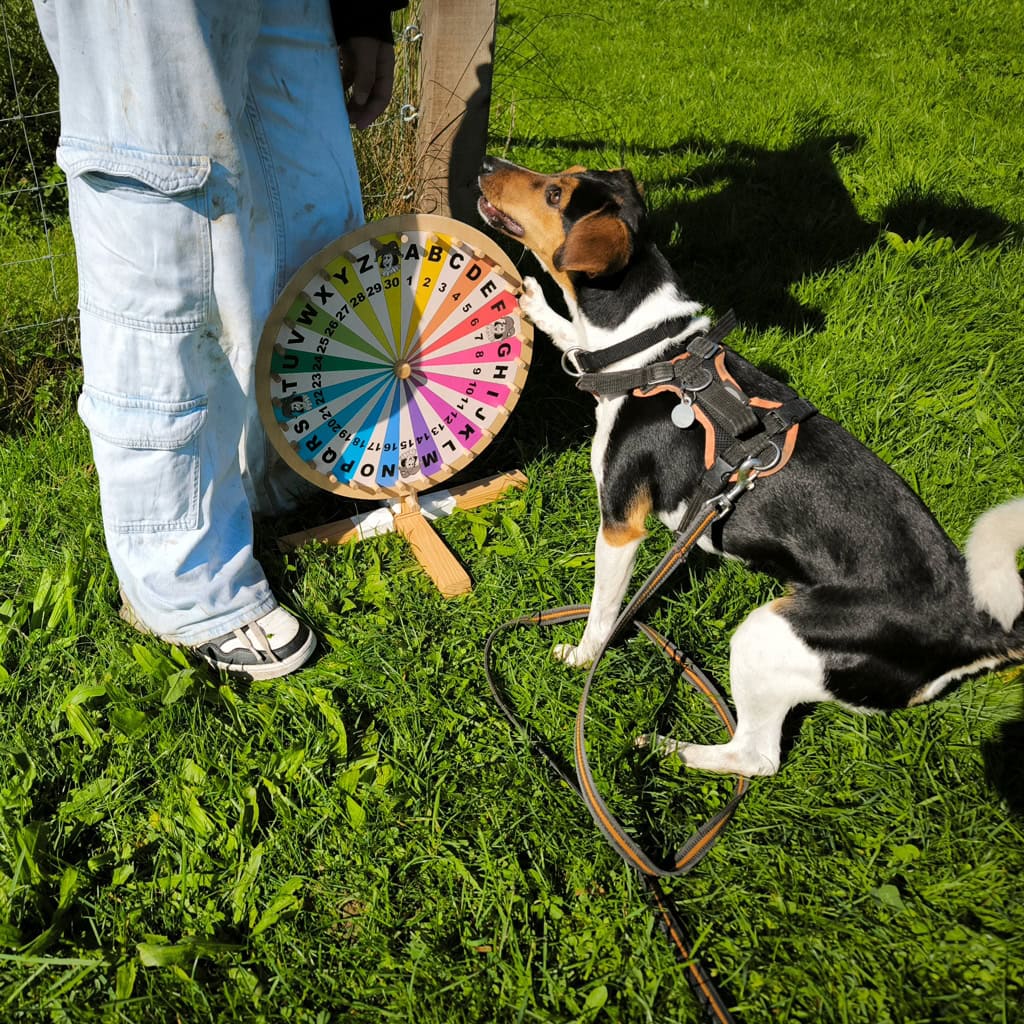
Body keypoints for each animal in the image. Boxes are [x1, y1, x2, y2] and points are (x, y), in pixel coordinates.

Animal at [477, 156, 1024, 777]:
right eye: (563, 174)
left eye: (554, 193)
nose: (489, 163)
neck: (651, 354)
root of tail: (976, 625)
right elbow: (571, 334)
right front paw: (534, 301)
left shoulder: (620, 525)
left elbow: (603, 611)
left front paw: (582, 656)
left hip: (766, 633)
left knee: (757, 757)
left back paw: (664, 746)